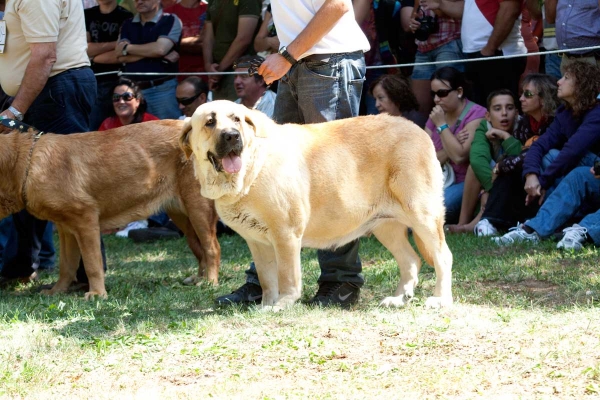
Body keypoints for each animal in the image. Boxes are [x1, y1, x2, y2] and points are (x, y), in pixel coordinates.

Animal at [0, 117, 220, 298]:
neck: (25, 164)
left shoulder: (85, 220)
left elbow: (92, 263)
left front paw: (97, 294)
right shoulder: (66, 229)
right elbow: (67, 266)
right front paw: (57, 291)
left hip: (198, 208)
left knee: (212, 248)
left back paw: (210, 282)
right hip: (183, 216)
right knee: (199, 248)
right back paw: (199, 278)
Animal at [180, 100, 452, 310]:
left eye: (236, 119)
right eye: (210, 122)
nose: (232, 136)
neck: (251, 169)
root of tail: (419, 130)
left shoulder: (285, 234)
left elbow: (286, 275)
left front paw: (282, 304)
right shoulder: (257, 241)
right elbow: (267, 278)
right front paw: (265, 304)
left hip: (423, 216)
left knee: (443, 257)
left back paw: (440, 299)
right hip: (385, 225)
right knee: (411, 260)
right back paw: (397, 299)